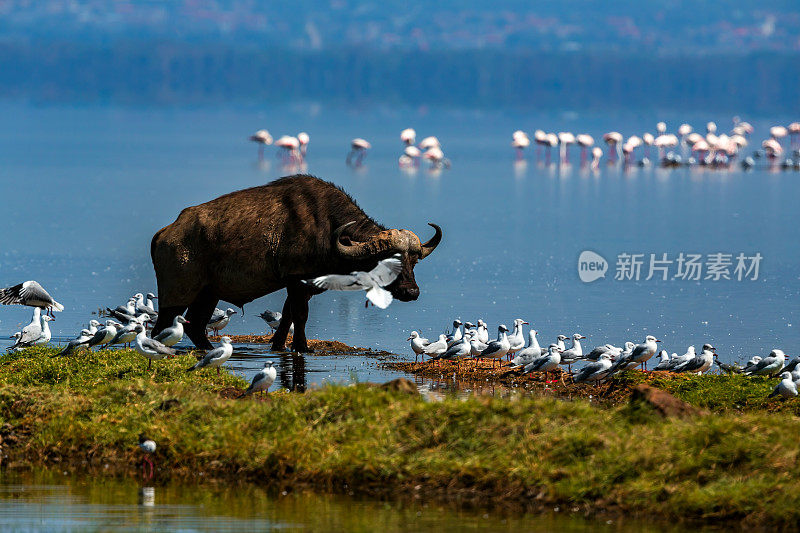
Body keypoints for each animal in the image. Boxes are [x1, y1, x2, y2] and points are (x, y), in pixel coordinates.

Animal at [150, 172, 444, 352]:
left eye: (413, 261)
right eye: (388, 261)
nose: (411, 292)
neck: (328, 229)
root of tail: (165, 233)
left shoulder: (300, 286)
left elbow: (288, 315)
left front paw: (279, 345)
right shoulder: (296, 280)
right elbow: (300, 315)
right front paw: (302, 347)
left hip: (208, 294)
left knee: (197, 326)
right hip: (176, 293)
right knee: (162, 326)